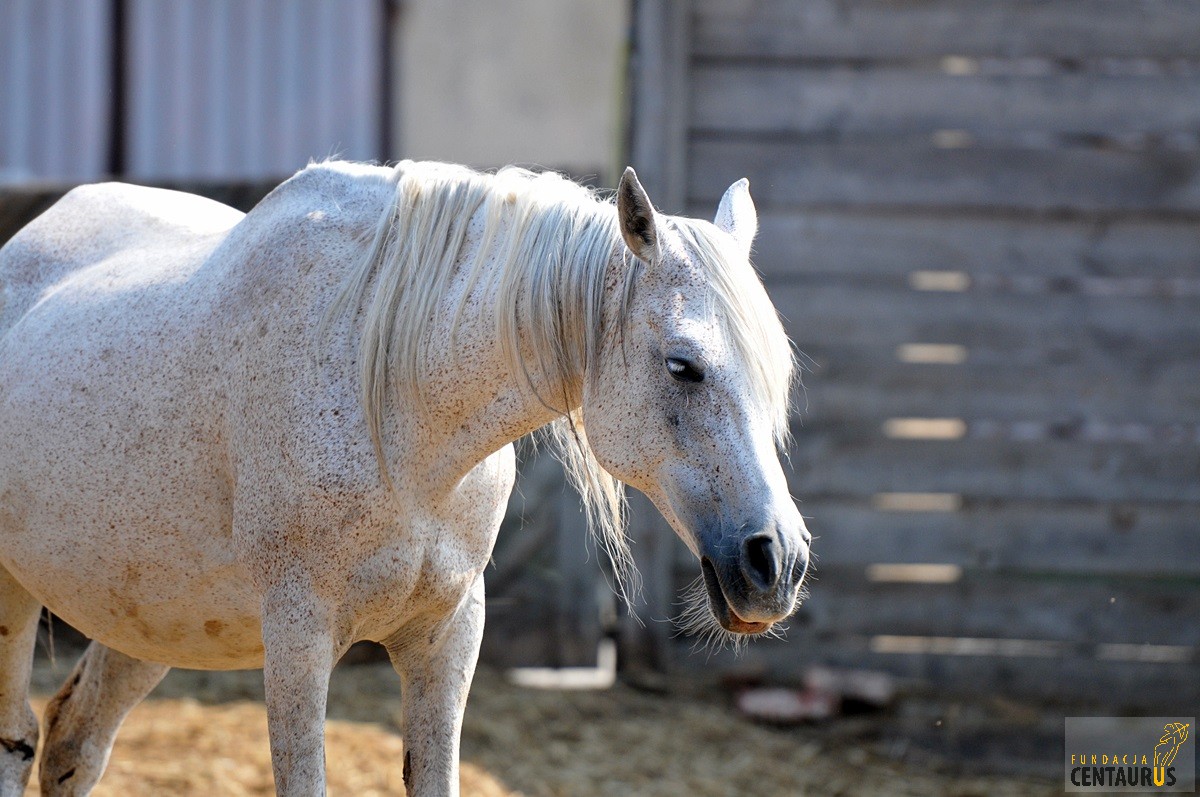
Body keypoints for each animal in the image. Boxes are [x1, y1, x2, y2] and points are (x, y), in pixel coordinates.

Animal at [0, 158, 811, 792]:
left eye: (777, 376)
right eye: (682, 365)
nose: (778, 561)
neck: (396, 405)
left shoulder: (447, 634)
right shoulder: (298, 639)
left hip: (148, 619)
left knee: (72, 741)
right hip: (18, 594)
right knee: (18, 740)